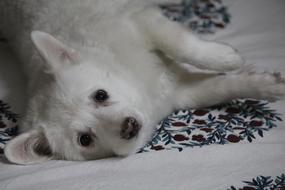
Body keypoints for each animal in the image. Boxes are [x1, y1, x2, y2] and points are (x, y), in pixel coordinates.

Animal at [0, 0, 284, 164]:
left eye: (100, 95)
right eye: (85, 139)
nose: (128, 127)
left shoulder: (142, 21)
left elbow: (183, 46)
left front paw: (225, 57)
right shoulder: (184, 93)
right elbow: (222, 88)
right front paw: (268, 85)